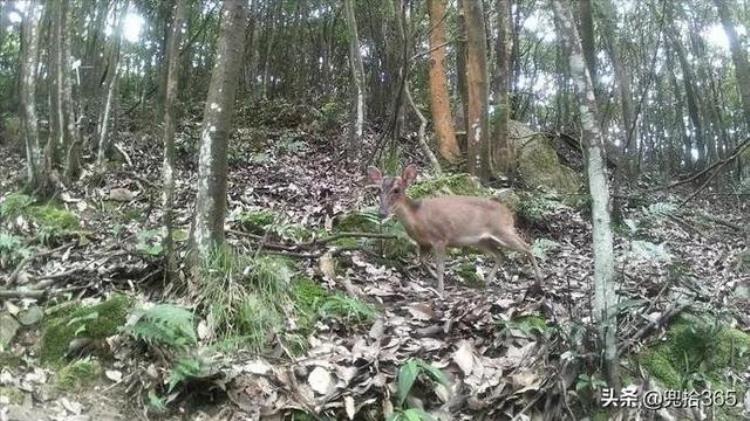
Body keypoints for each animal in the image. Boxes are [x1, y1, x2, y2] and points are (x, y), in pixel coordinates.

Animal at [368, 164, 540, 296]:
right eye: (379, 190)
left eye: (397, 190)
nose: (381, 212)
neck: (418, 218)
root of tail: (509, 214)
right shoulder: (423, 243)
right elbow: (422, 260)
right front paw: (433, 276)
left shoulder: (440, 238)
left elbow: (440, 266)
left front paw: (440, 290)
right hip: (482, 241)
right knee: (500, 255)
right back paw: (486, 282)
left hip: (503, 230)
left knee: (527, 247)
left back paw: (540, 279)